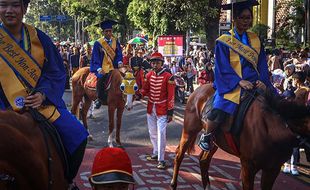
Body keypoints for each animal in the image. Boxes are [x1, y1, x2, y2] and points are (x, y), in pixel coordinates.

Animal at [171, 84, 308, 190]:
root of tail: (197, 90)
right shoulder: (248, 166)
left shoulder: (273, 168)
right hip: (189, 130)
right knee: (179, 154)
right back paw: (173, 184)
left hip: (215, 140)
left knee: (204, 160)